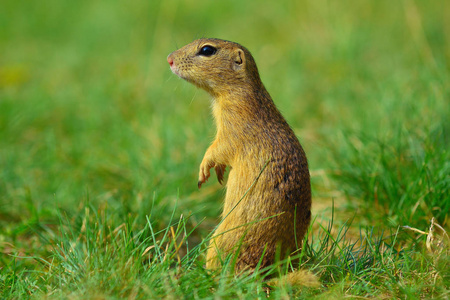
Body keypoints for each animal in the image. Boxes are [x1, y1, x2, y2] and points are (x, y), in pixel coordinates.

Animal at [167, 38, 312, 274]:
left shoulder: (234, 125)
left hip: (219, 241)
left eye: (207, 50)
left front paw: (204, 170)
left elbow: (218, 149)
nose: (169, 59)